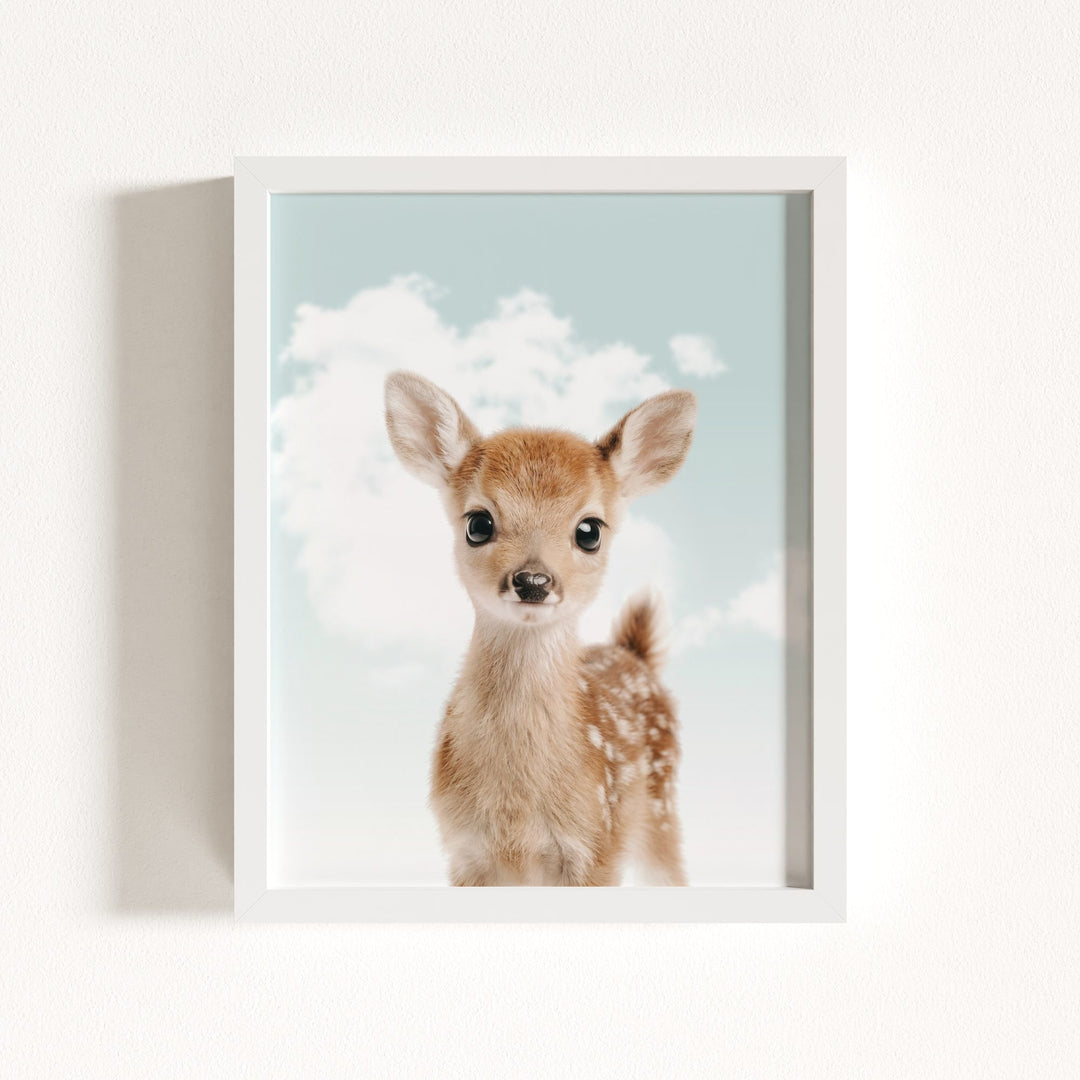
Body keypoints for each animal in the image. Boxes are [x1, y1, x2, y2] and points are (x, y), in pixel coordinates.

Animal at [384, 371, 697, 886]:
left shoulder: (597, 845)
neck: (517, 813)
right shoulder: (464, 851)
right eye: (478, 523)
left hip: (661, 809)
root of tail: (634, 653)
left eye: (590, 531)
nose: (533, 581)